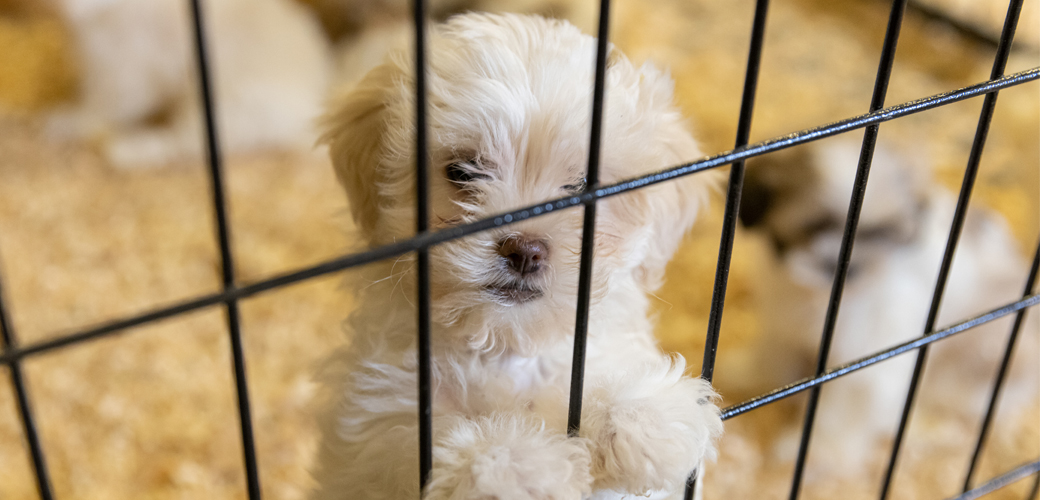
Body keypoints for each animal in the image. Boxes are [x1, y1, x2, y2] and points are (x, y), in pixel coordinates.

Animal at [736, 135, 1035, 476]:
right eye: (814, 226)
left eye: (880, 232)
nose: (848, 267)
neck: (826, 298)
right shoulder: (784, 327)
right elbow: (774, 359)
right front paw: (748, 378)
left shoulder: (864, 359)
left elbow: (840, 409)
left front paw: (817, 454)